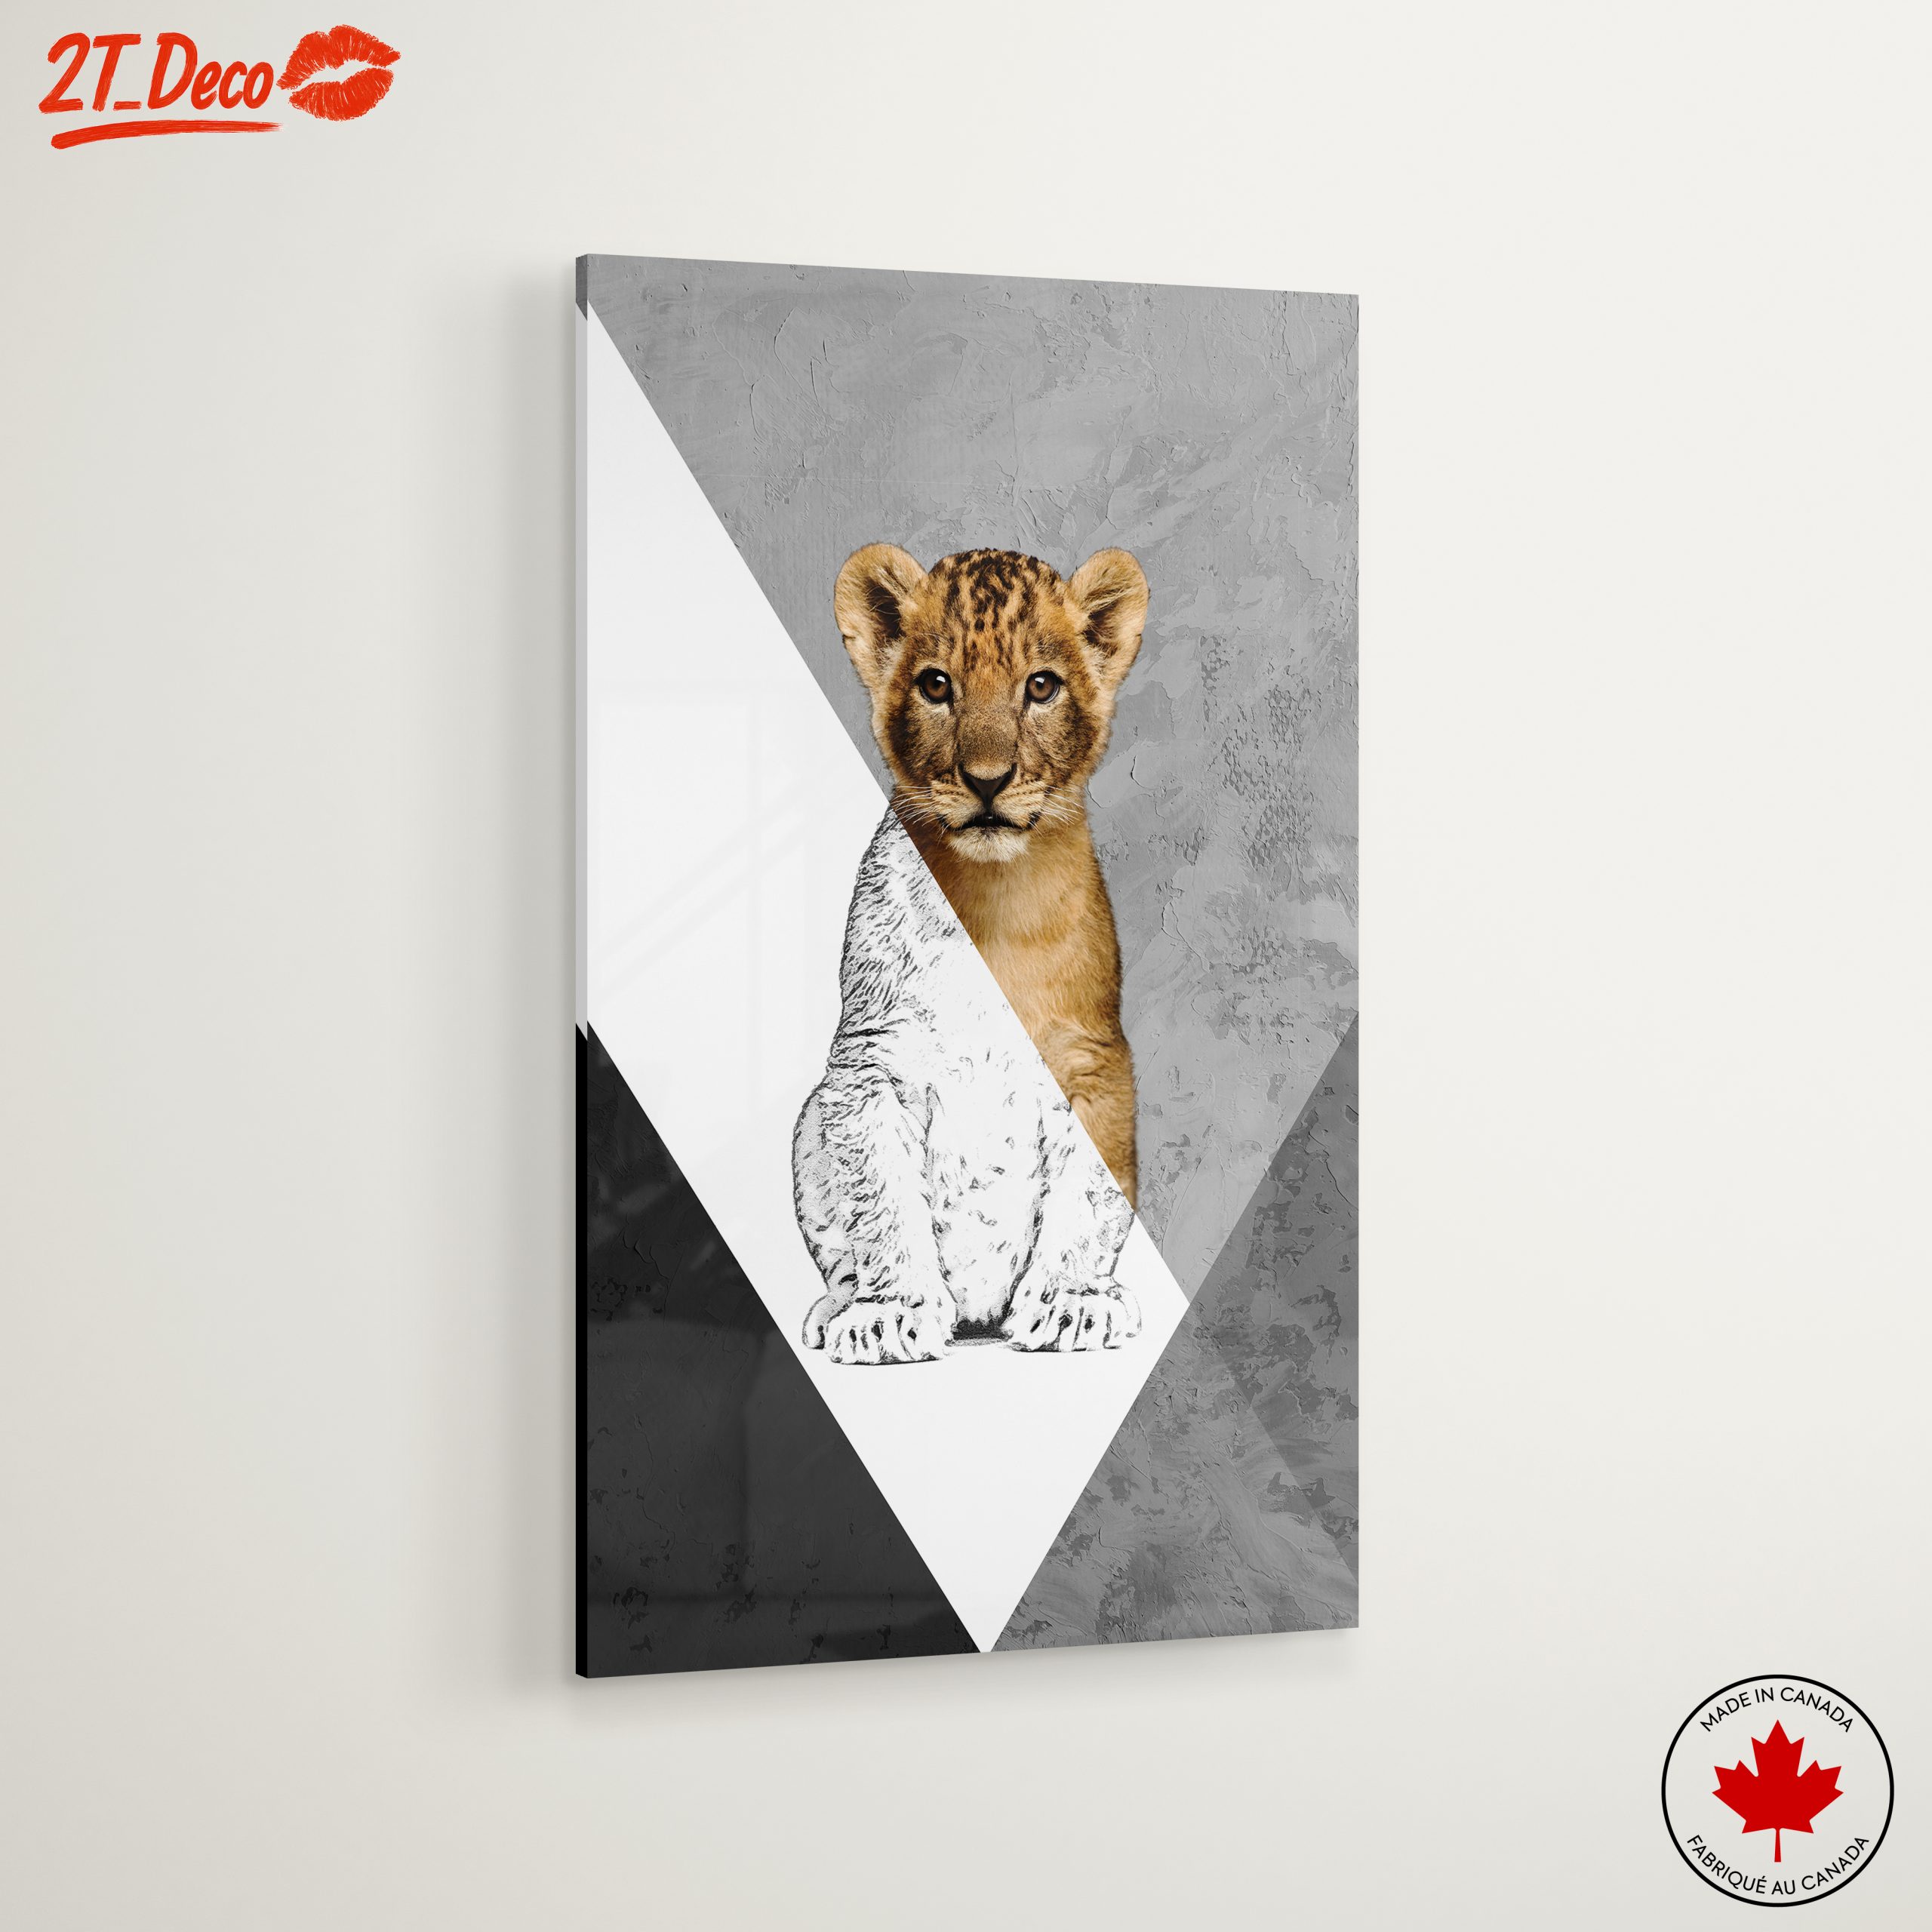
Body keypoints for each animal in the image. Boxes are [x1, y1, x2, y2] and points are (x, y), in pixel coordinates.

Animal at [792, 545, 1147, 1364]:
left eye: (1041, 686)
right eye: (936, 685)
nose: (987, 781)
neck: (988, 903)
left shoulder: (1093, 1061)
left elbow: (1086, 1199)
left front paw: (1072, 1304)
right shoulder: (867, 1067)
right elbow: (883, 1202)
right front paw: (890, 1313)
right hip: (808, 1116)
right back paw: (837, 1308)